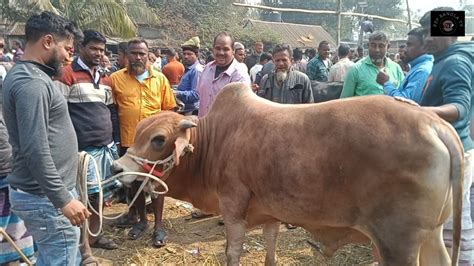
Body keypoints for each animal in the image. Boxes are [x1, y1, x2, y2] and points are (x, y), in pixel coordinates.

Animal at [112, 82, 462, 264]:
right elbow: (270, 248)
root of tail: (435, 123)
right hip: (431, 234)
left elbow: (232, 252)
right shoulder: (271, 214)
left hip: (397, 243)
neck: (214, 141)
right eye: (139, 133)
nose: (117, 168)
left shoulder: (233, 208)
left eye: (158, 140)